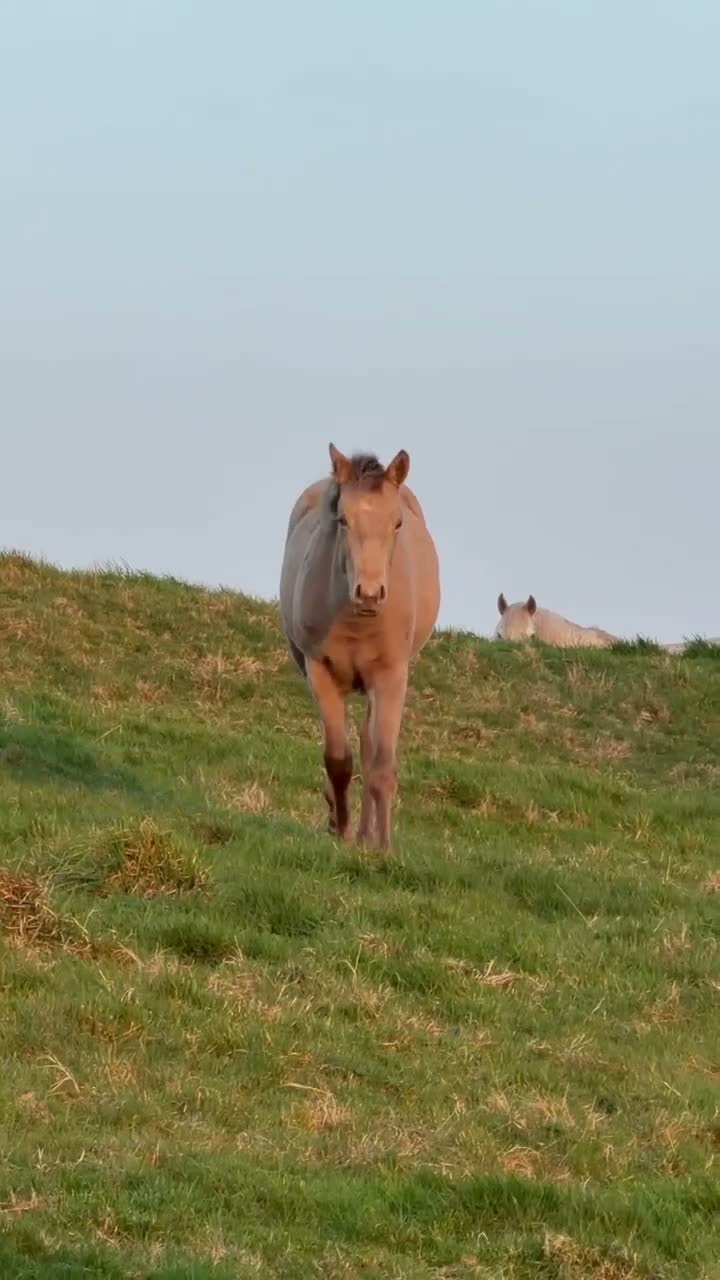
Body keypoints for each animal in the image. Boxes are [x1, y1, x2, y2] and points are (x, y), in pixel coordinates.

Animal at [280, 443, 440, 850]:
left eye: (397, 523)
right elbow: (338, 760)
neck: (357, 623)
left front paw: (383, 847)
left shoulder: (391, 676)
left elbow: (380, 764)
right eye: (343, 520)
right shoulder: (320, 671)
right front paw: (341, 829)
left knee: (370, 746)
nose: (369, 593)